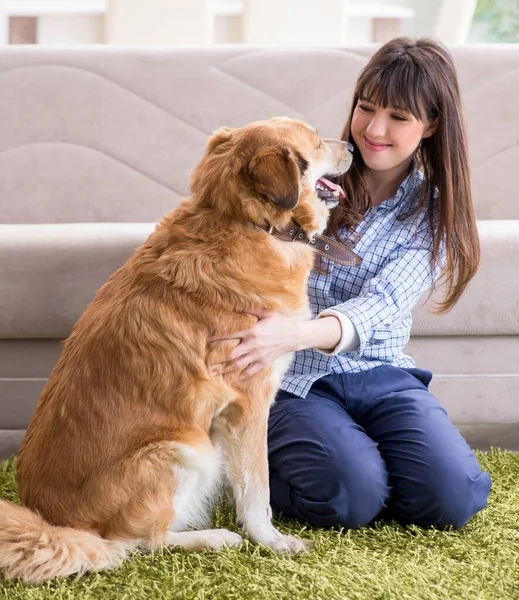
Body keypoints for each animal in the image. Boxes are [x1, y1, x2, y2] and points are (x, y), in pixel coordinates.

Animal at [0, 115, 354, 584]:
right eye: (314, 140)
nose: (353, 147)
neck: (243, 221)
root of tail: (56, 523)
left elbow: (243, 480)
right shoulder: (250, 401)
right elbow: (257, 488)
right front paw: (272, 540)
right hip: (183, 450)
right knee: (137, 543)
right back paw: (213, 537)